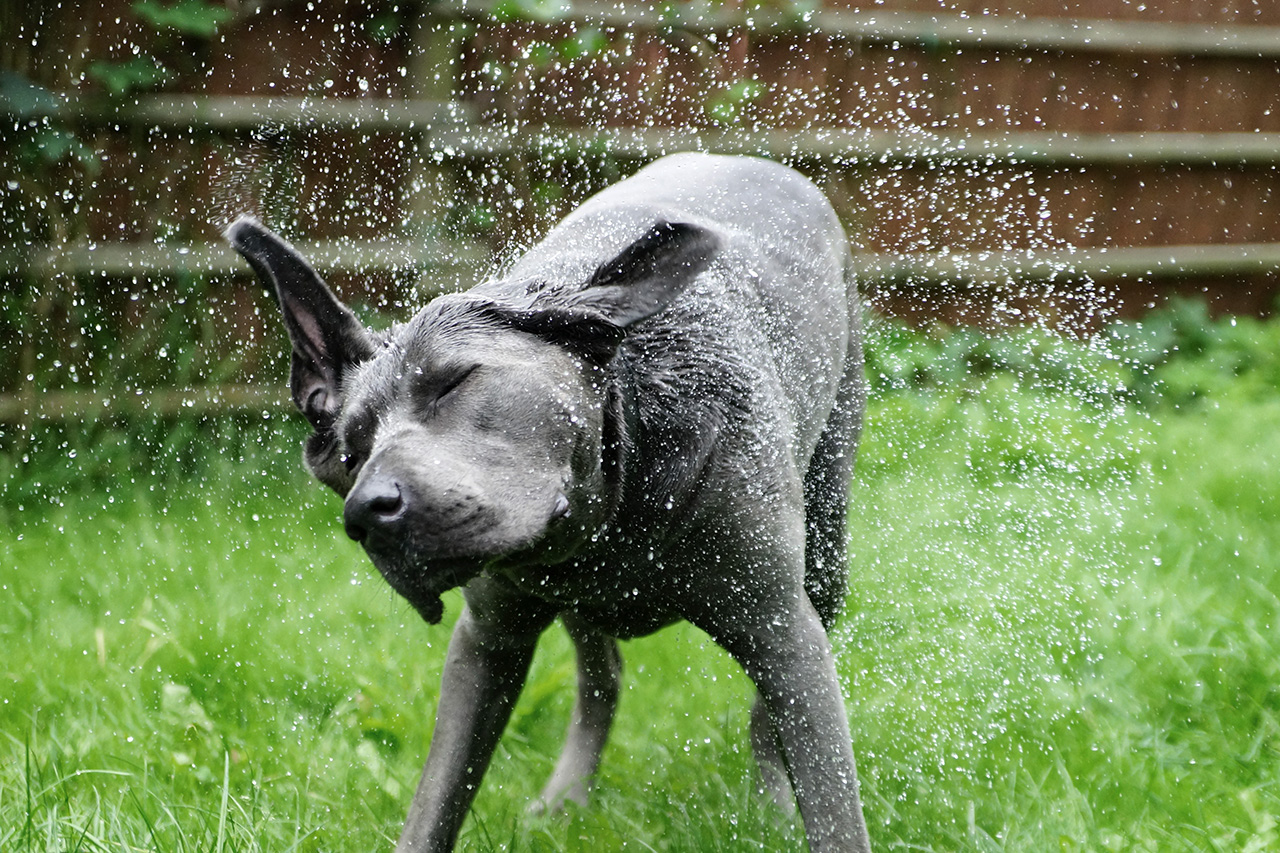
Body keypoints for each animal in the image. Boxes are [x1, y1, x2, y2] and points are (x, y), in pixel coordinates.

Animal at [225, 154, 875, 850]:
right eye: (351, 452)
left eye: (455, 382)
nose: (367, 513)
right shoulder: (488, 642)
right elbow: (436, 801)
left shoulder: (780, 630)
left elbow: (827, 795)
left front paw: (792, 807)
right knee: (602, 677)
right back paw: (568, 796)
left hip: (826, 552)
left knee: (760, 709)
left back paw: (771, 808)